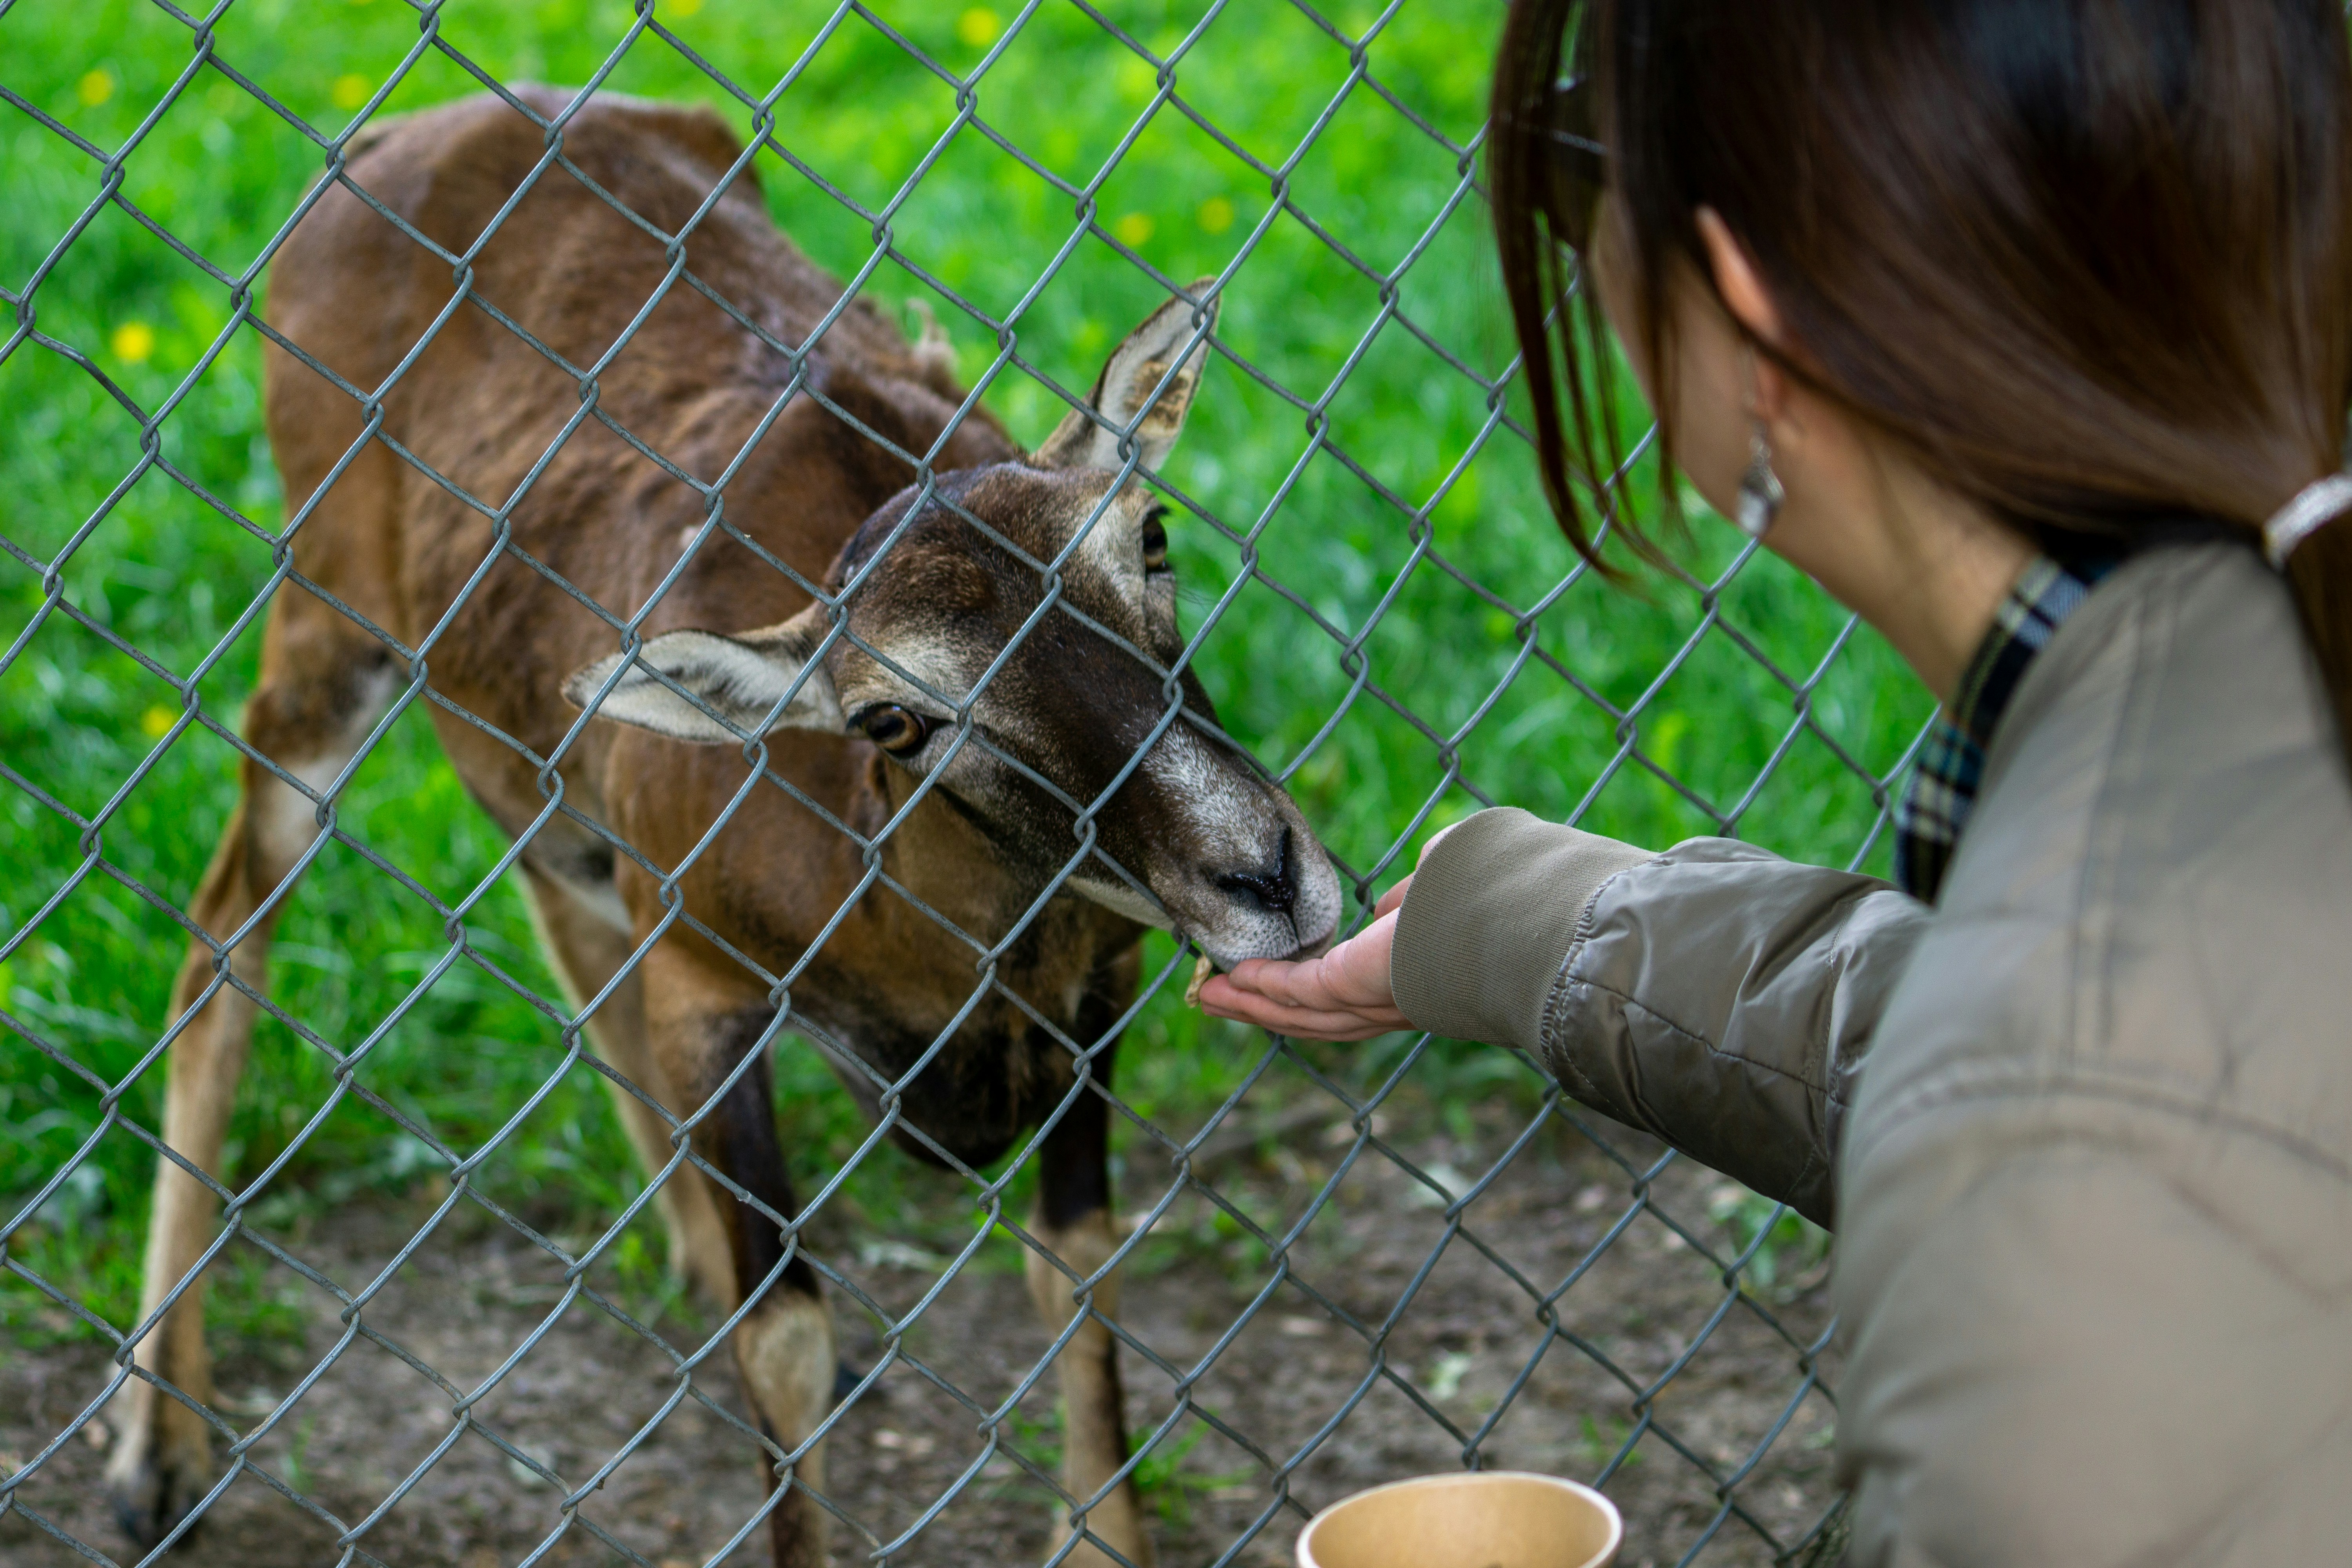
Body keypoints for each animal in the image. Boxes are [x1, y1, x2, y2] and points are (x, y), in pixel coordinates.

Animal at [101, 86, 1342, 1568]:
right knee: (224, 929)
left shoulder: (1097, 987)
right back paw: (155, 1452)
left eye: (1150, 540)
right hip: (323, 633)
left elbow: (1075, 1262)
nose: (1263, 875)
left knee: (558, 904)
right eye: (889, 720)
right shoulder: (710, 992)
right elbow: (785, 1338)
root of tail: (410, 129)